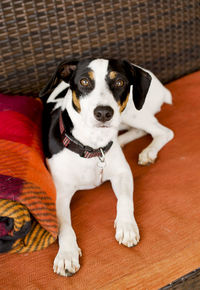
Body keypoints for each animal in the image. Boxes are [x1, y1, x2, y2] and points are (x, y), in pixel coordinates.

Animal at [39, 58, 173, 276]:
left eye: (119, 82)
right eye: (84, 81)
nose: (103, 113)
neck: (93, 148)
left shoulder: (122, 173)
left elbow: (125, 200)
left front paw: (126, 226)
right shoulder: (60, 195)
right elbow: (64, 225)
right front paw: (67, 254)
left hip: (132, 113)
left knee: (163, 131)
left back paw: (147, 151)